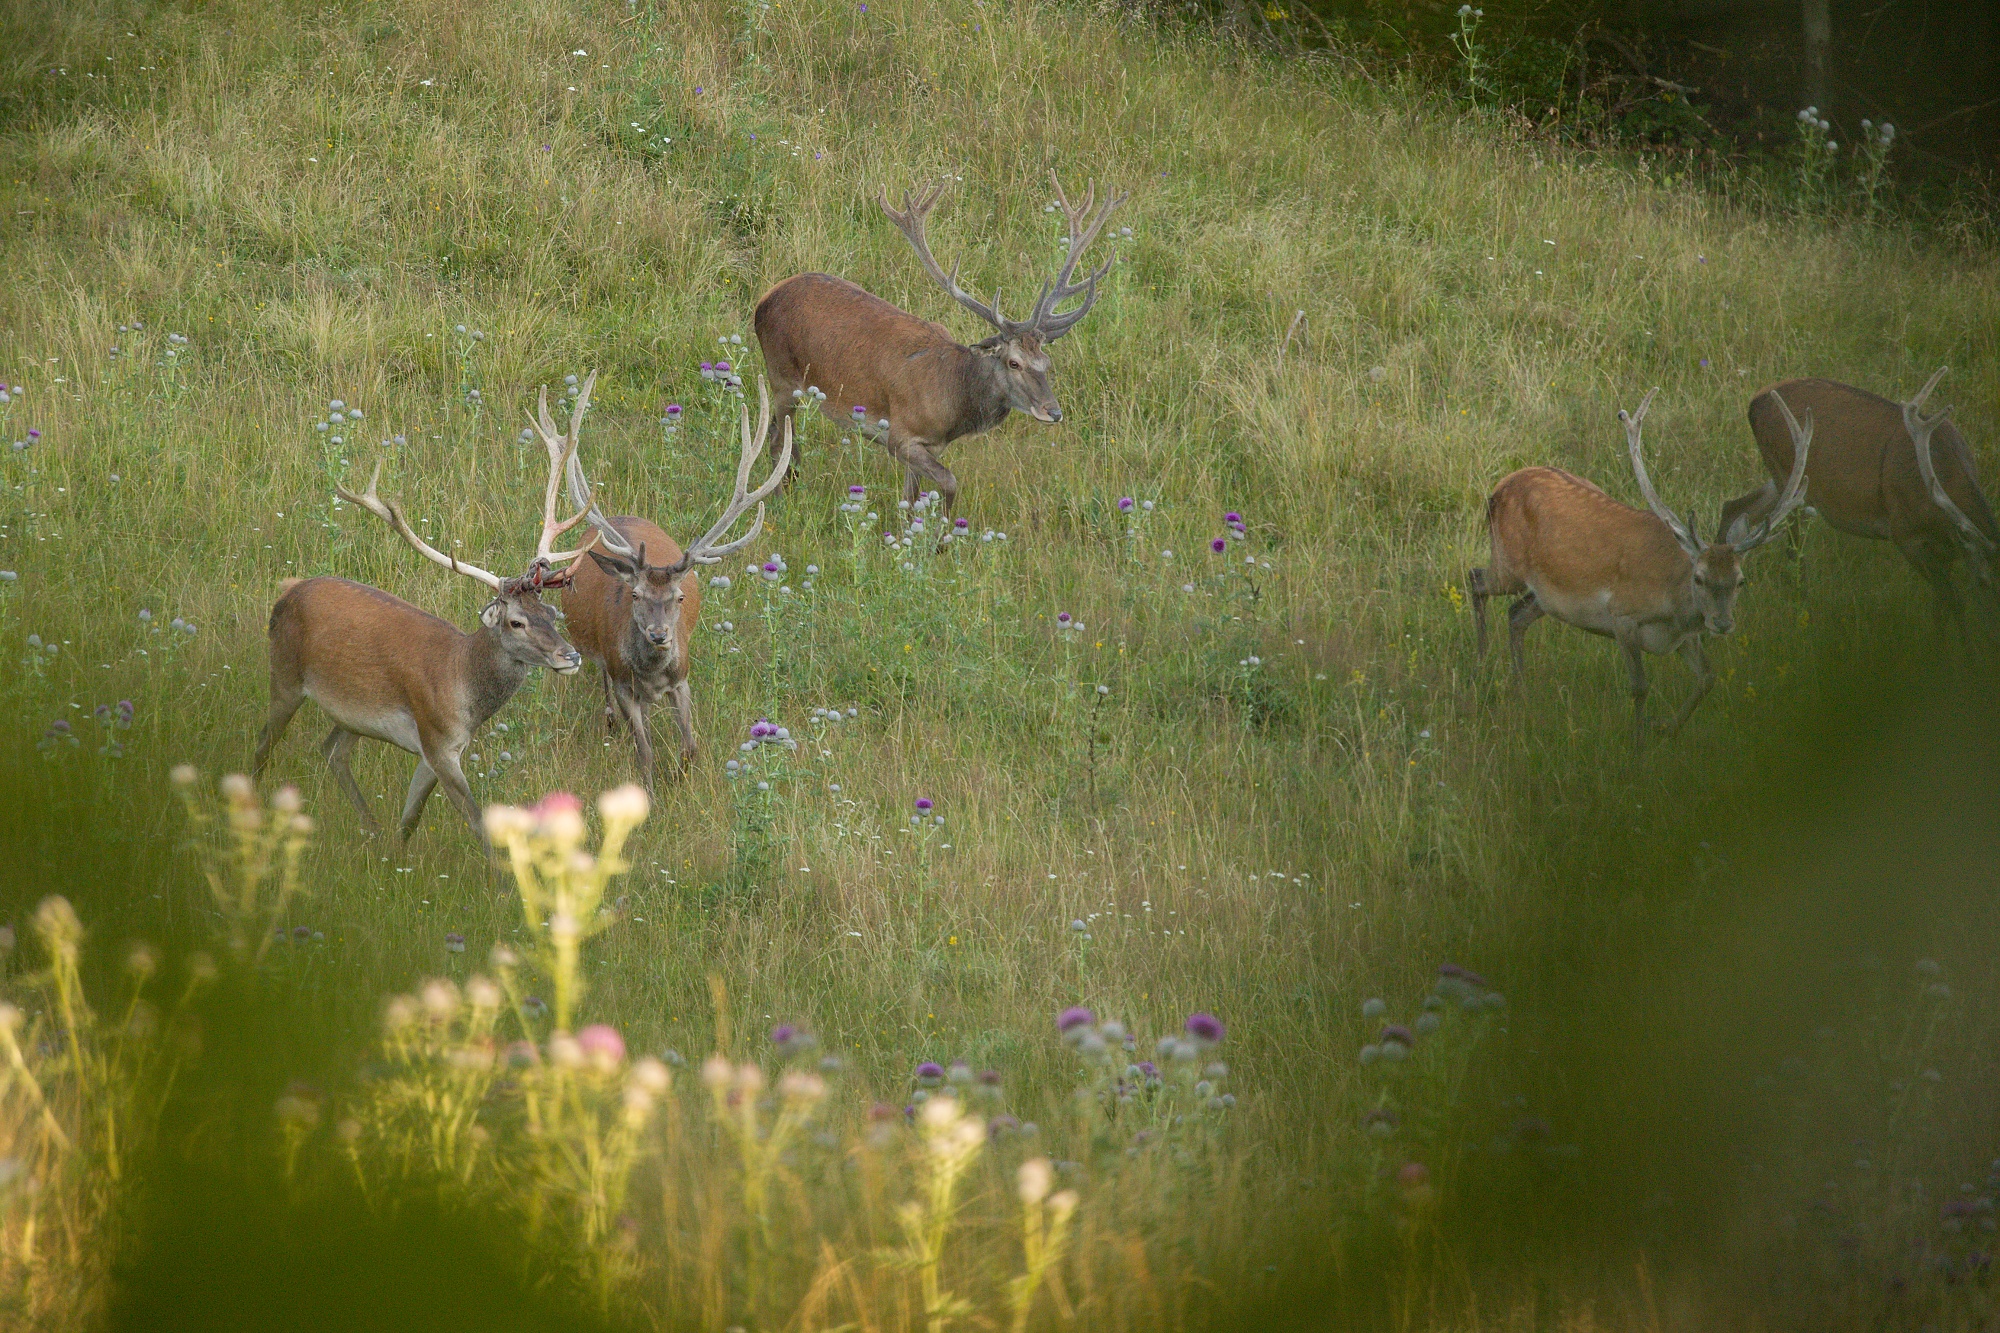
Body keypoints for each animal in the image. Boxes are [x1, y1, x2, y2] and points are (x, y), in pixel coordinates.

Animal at [249, 428, 584, 840]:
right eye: (516, 622)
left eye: (551, 613)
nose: (570, 656)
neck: (461, 683)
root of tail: (287, 591)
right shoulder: (436, 740)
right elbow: (478, 822)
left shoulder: (439, 749)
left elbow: (410, 820)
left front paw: (395, 854)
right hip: (285, 672)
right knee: (265, 741)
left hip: (352, 713)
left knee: (332, 751)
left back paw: (371, 831)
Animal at [552, 368, 800, 784]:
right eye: (634, 594)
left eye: (679, 597)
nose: (658, 634)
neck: (652, 676)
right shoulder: (624, 682)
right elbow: (645, 751)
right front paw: (650, 789)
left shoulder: (682, 679)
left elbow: (691, 745)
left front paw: (683, 778)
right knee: (607, 692)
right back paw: (610, 722)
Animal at [752, 170, 1128, 508]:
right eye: (1014, 362)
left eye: (1046, 363)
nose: (1054, 411)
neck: (952, 401)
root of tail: (764, 299)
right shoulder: (900, 436)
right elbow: (949, 482)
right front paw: (942, 536)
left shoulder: (929, 445)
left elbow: (910, 498)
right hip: (782, 377)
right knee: (778, 440)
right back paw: (781, 502)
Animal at [1472, 386, 1816, 748]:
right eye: (1699, 578)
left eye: (1740, 580)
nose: (1722, 623)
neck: (1672, 604)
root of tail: (1499, 486)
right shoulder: (1622, 617)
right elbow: (1639, 686)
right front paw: (1638, 747)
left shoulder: (1686, 637)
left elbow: (1708, 677)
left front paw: (1665, 728)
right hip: (1507, 562)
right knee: (1476, 579)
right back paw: (1481, 668)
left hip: (1544, 595)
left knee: (1516, 613)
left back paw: (1519, 689)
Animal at [1712, 366, 1992, 632]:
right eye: (1984, 582)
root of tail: (1755, 400)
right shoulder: (1906, 534)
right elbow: (1954, 602)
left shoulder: (1944, 551)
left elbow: (1941, 607)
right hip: (1787, 476)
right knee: (1794, 554)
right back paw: (1803, 619)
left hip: (1788, 481)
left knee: (1733, 508)